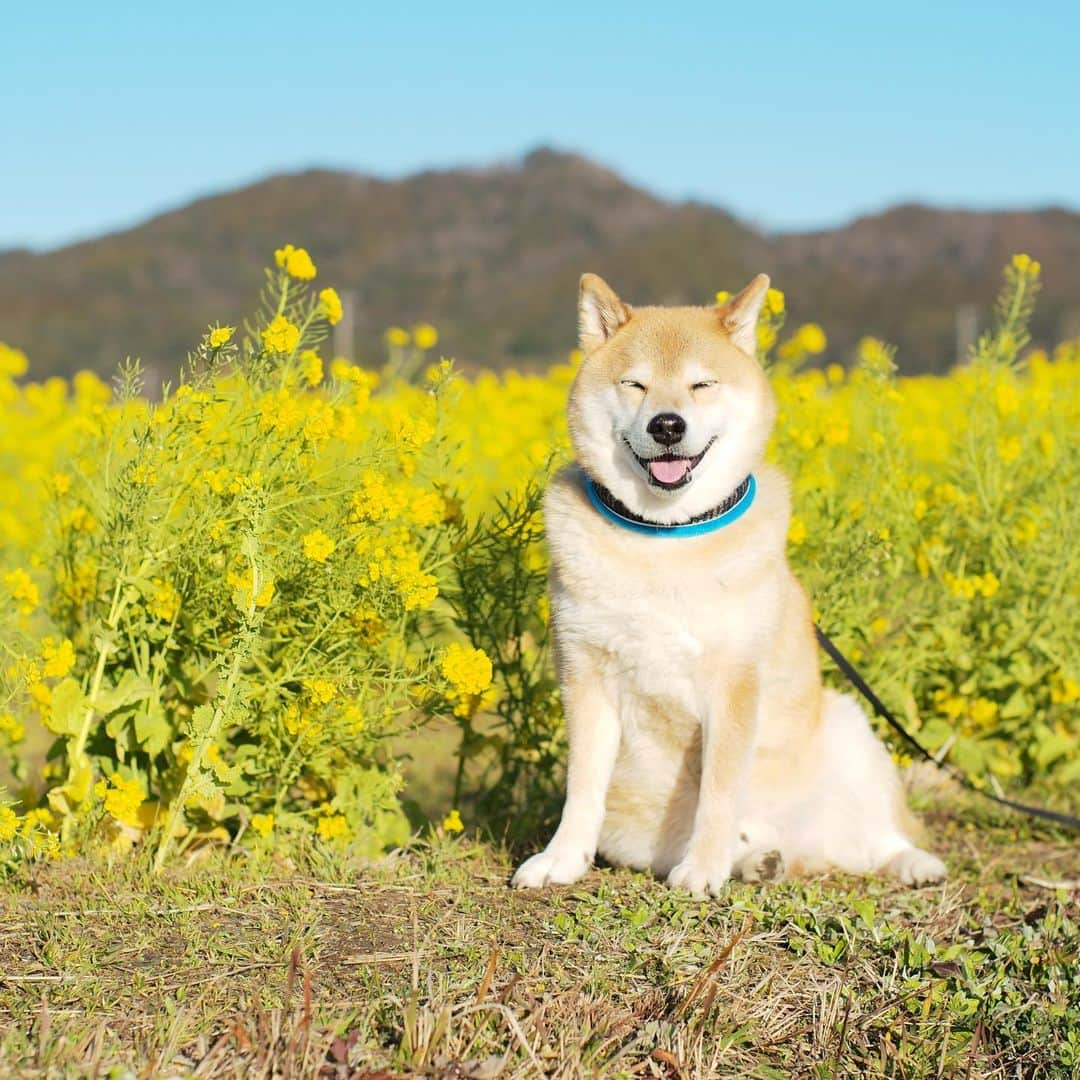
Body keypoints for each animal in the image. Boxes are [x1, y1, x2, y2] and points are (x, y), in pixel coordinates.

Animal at [509, 272, 941, 894]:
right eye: (635, 384)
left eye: (701, 384)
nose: (668, 423)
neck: (664, 537)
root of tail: (807, 844)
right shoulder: (586, 675)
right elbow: (582, 788)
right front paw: (561, 859)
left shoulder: (734, 683)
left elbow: (718, 790)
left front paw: (703, 870)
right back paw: (757, 861)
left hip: (851, 730)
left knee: (877, 838)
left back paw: (912, 864)